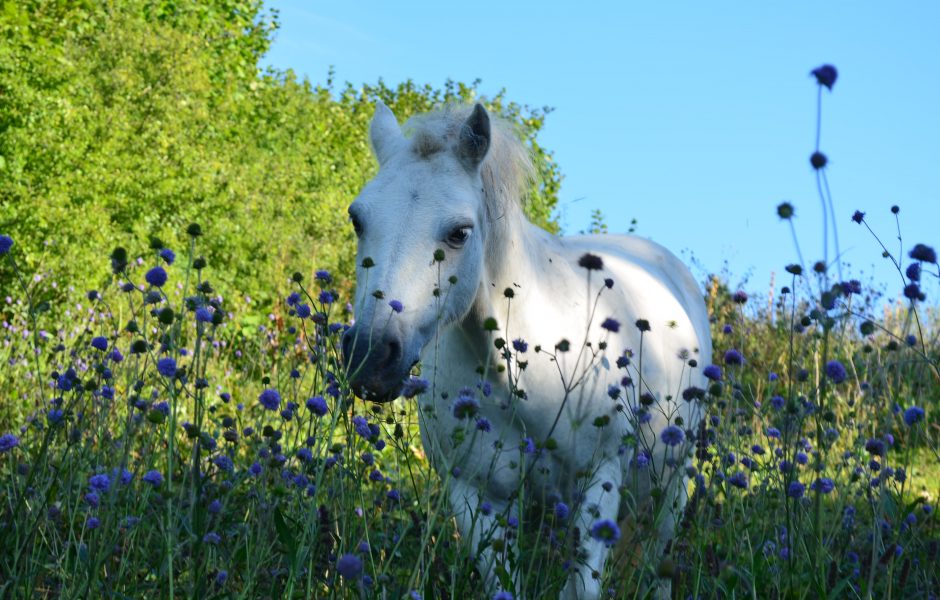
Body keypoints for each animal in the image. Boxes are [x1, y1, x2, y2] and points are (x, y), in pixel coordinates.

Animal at [346, 101, 712, 596]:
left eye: (459, 232)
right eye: (358, 218)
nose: (370, 357)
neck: (522, 378)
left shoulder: (599, 481)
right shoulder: (477, 495)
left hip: (670, 487)